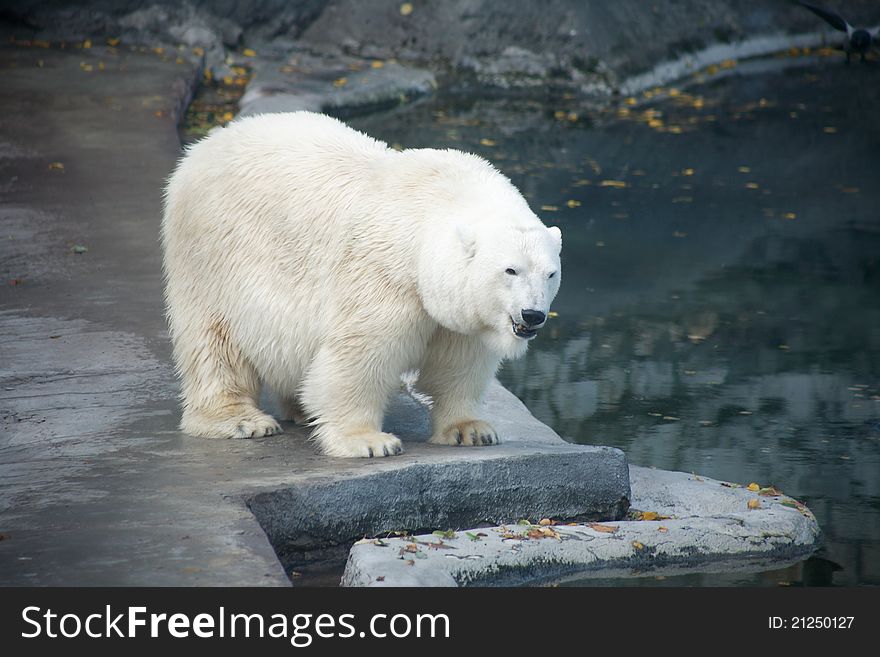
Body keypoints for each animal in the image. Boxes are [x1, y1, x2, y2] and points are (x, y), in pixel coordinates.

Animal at [163, 111, 564, 456]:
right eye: (510, 270)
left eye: (550, 273)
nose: (532, 315)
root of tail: (206, 143)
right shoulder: (385, 275)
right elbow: (361, 354)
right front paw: (368, 441)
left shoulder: (455, 308)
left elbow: (460, 362)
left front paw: (472, 430)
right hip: (212, 254)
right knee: (214, 340)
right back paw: (240, 419)